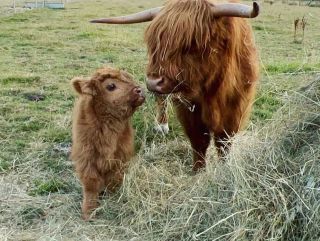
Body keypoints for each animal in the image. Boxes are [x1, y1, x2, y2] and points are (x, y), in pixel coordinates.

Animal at [71, 67, 145, 219]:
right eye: (111, 86)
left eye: (128, 79)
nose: (139, 90)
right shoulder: (87, 157)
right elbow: (91, 185)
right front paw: (88, 212)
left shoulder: (120, 156)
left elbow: (114, 179)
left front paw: (114, 198)